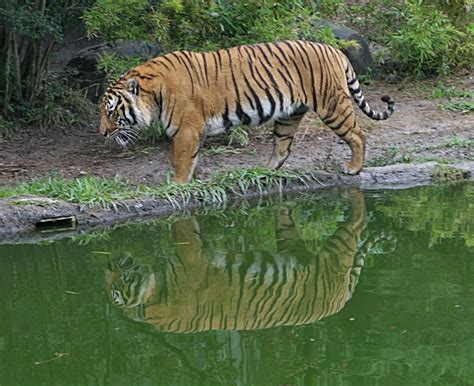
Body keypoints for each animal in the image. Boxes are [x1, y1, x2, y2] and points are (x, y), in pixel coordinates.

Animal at [101, 40, 396, 182]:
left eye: (112, 112)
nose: (102, 133)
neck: (153, 93)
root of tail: (335, 50)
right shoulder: (192, 131)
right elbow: (184, 157)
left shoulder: (186, 129)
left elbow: (182, 159)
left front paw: (179, 183)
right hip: (288, 116)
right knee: (282, 147)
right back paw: (264, 172)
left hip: (332, 105)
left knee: (357, 135)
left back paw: (353, 168)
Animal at [104, 190, 396, 332]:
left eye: (118, 290)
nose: (109, 265)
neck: (155, 292)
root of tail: (341, 301)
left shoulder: (192, 259)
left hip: (335, 254)